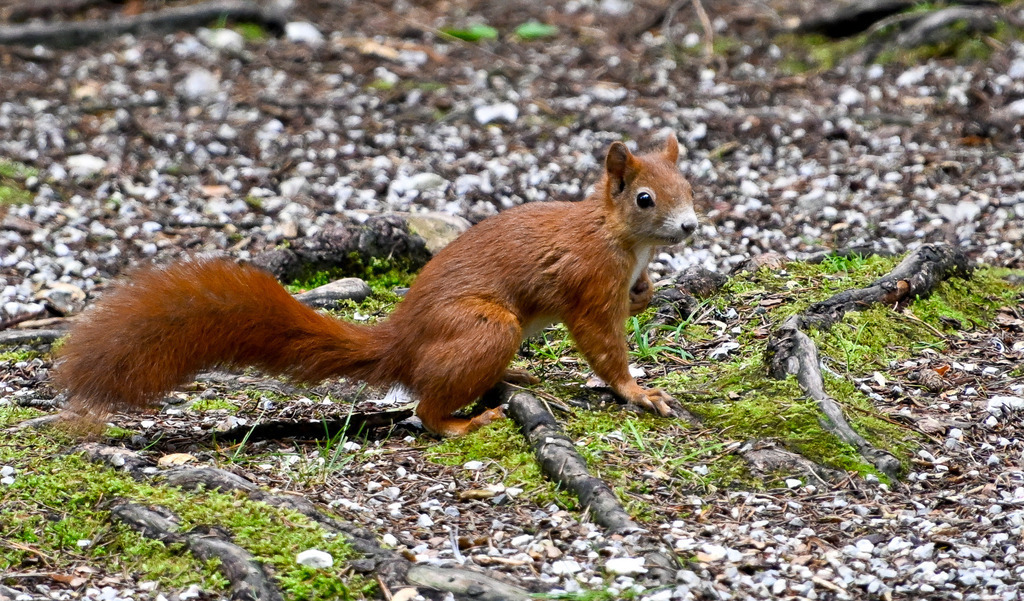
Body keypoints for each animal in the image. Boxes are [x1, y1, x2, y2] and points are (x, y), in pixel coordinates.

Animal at [54, 132, 698, 437]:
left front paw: (648, 292)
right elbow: (603, 344)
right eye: (645, 199)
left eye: (690, 187)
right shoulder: (588, 280)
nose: (691, 226)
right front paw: (638, 391)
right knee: (426, 409)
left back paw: (516, 377)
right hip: (485, 327)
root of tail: (401, 342)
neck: (621, 239)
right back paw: (467, 420)